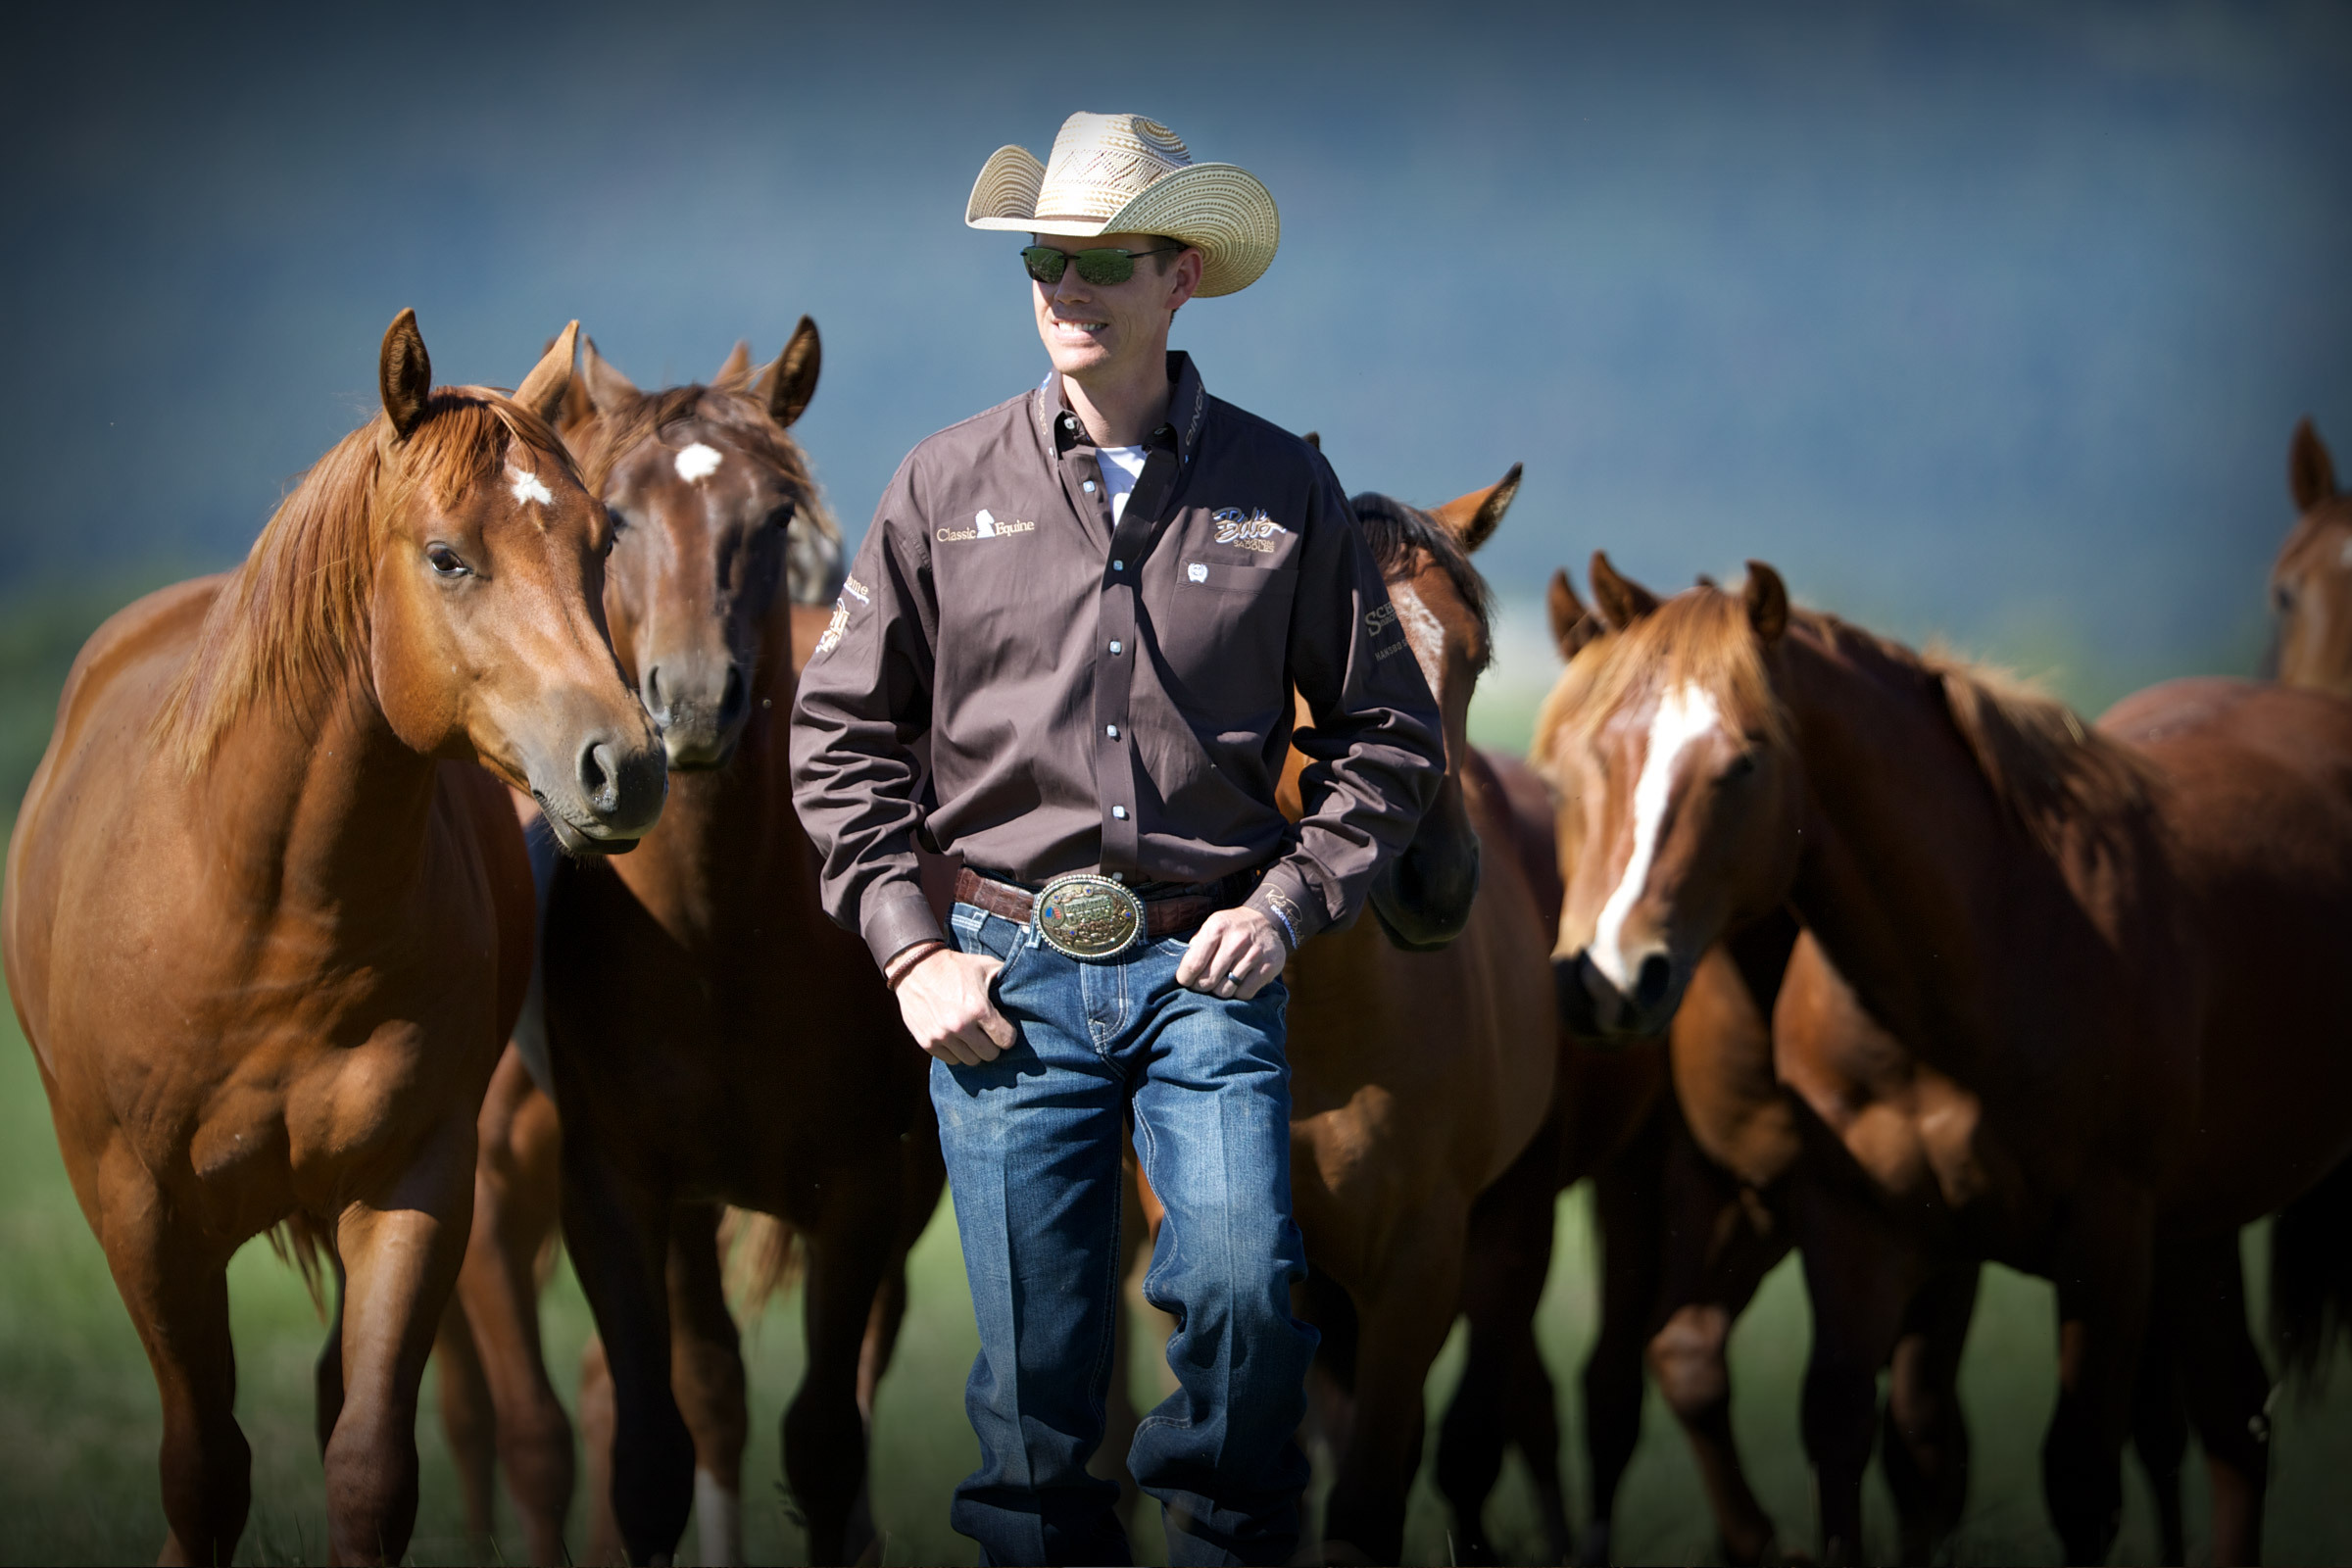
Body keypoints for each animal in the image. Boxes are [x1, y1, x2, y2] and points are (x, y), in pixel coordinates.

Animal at [0, 313, 664, 1565]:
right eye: (448, 556)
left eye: (601, 543)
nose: (627, 766)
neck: (259, 908)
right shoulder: (142, 1213)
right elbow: (203, 1471)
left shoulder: (415, 1187)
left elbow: (368, 1467)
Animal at [1537, 558, 2352, 1565]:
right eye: (1576, 766)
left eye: (1743, 764)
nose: (1608, 979)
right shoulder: (1857, 1226)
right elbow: (1844, 1430)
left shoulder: (2105, 1240)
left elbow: (2074, 1477)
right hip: (2200, 1222)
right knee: (2237, 1417)